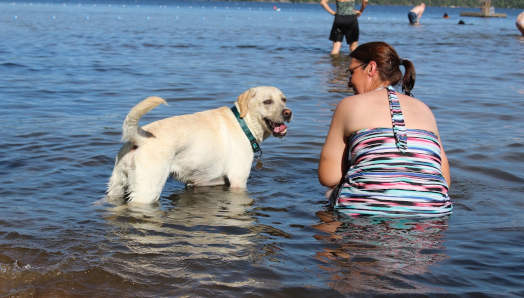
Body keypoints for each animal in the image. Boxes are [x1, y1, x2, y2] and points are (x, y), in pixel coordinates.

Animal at [106, 85, 290, 204]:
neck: (243, 123)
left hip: (117, 186)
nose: (288, 112)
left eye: (284, 99)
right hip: (148, 190)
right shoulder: (238, 181)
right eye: (267, 102)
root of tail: (140, 137)